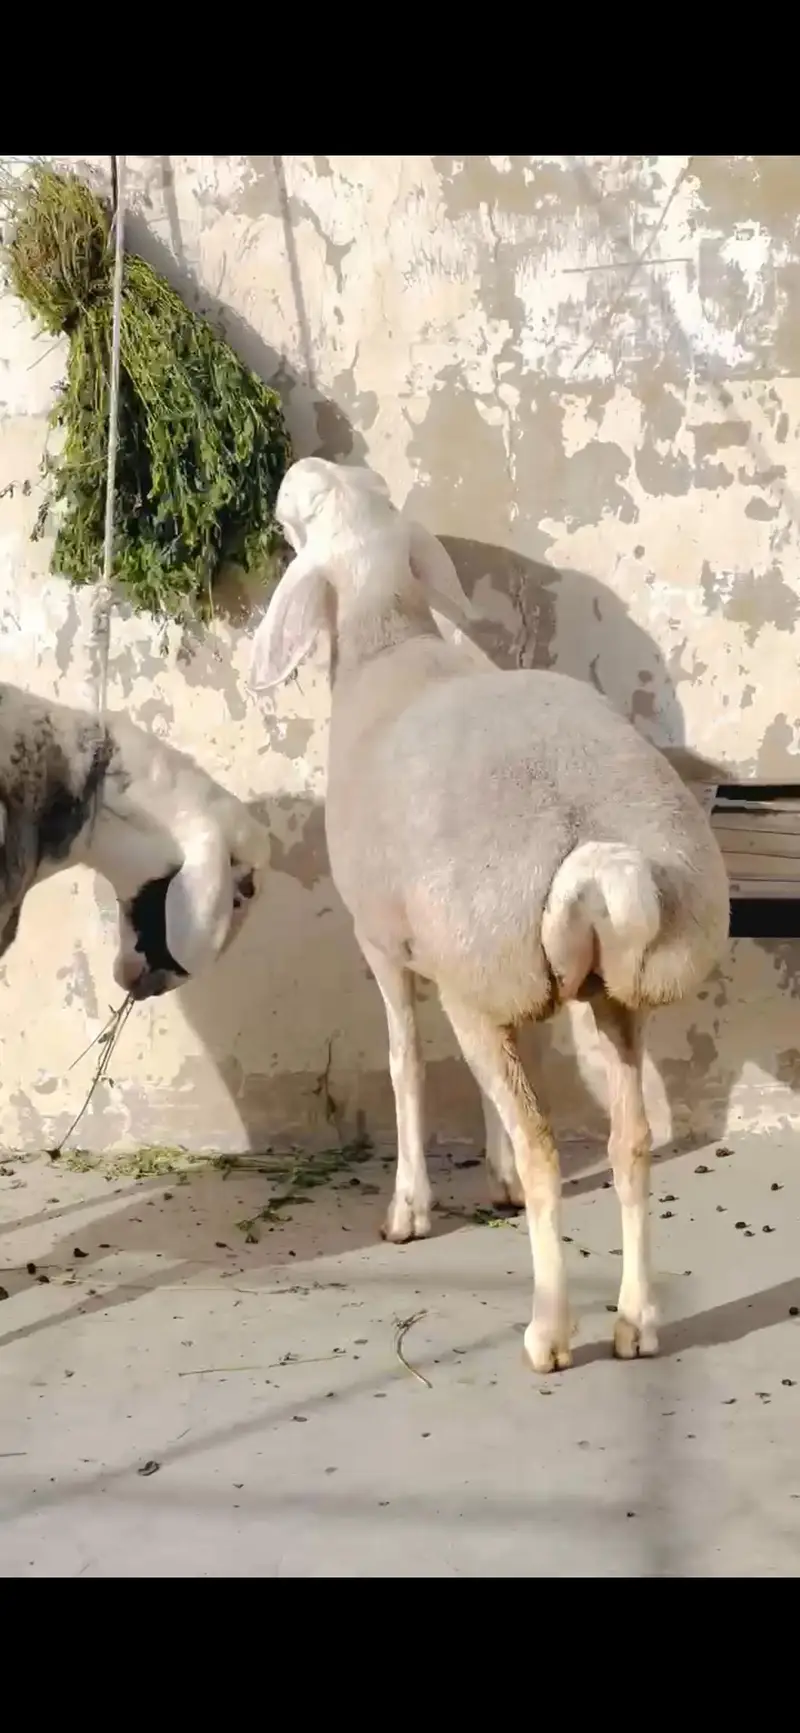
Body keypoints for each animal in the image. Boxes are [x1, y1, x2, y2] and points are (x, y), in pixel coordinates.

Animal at [249, 457, 730, 1374]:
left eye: (312, 509)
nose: (299, 472)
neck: (388, 639)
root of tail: (592, 843)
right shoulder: (495, 982)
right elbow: (499, 1078)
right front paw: (493, 1173)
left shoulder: (388, 943)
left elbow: (403, 1060)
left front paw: (409, 1207)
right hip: (599, 983)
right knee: (630, 1141)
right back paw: (636, 1318)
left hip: (485, 966)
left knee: (548, 1149)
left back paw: (550, 1329)